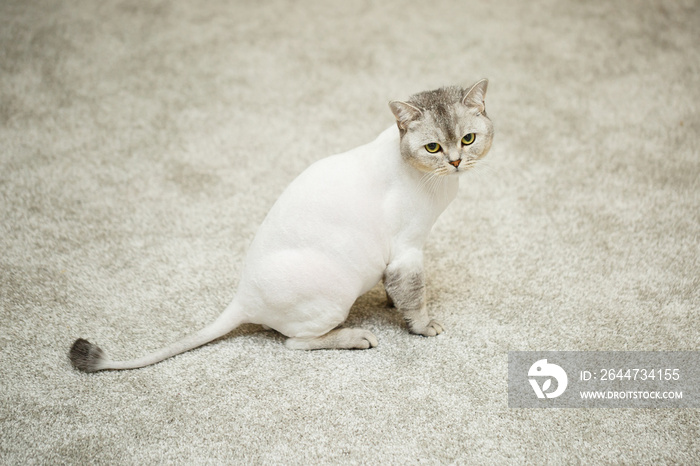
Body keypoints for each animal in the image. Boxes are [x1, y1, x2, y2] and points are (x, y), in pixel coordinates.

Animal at [67, 79, 492, 372]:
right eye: (433, 147)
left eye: (468, 140)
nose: (456, 162)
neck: (436, 181)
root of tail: (242, 298)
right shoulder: (408, 251)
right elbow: (415, 298)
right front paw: (422, 325)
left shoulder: (399, 261)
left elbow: (397, 291)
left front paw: (391, 304)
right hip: (335, 296)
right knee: (296, 343)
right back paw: (356, 337)